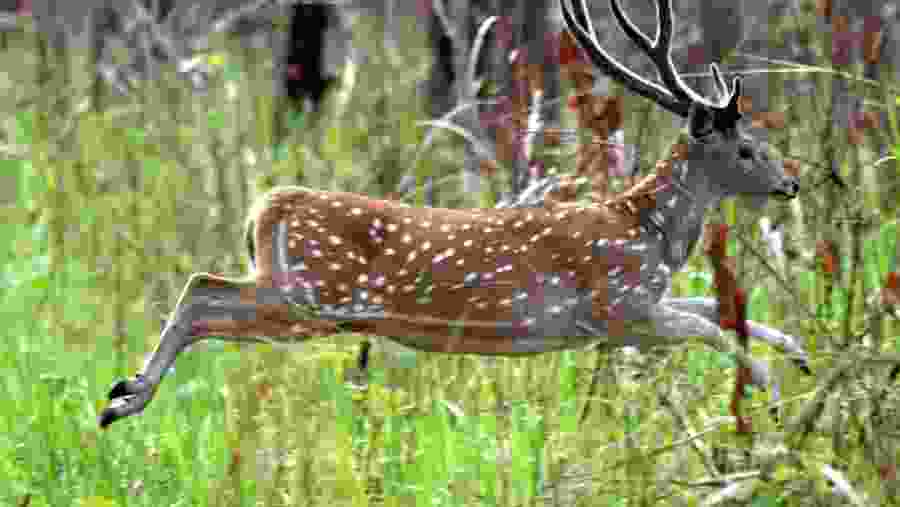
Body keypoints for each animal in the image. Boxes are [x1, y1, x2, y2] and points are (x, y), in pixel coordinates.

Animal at [99, 0, 809, 428]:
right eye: (747, 147)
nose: (791, 182)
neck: (648, 231)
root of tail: (266, 209)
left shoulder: (635, 305)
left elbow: (723, 309)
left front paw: (798, 356)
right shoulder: (613, 307)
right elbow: (711, 326)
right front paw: (771, 395)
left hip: (303, 297)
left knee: (203, 289)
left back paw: (122, 394)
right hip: (314, 297)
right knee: (202, 292)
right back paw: (123, 399)